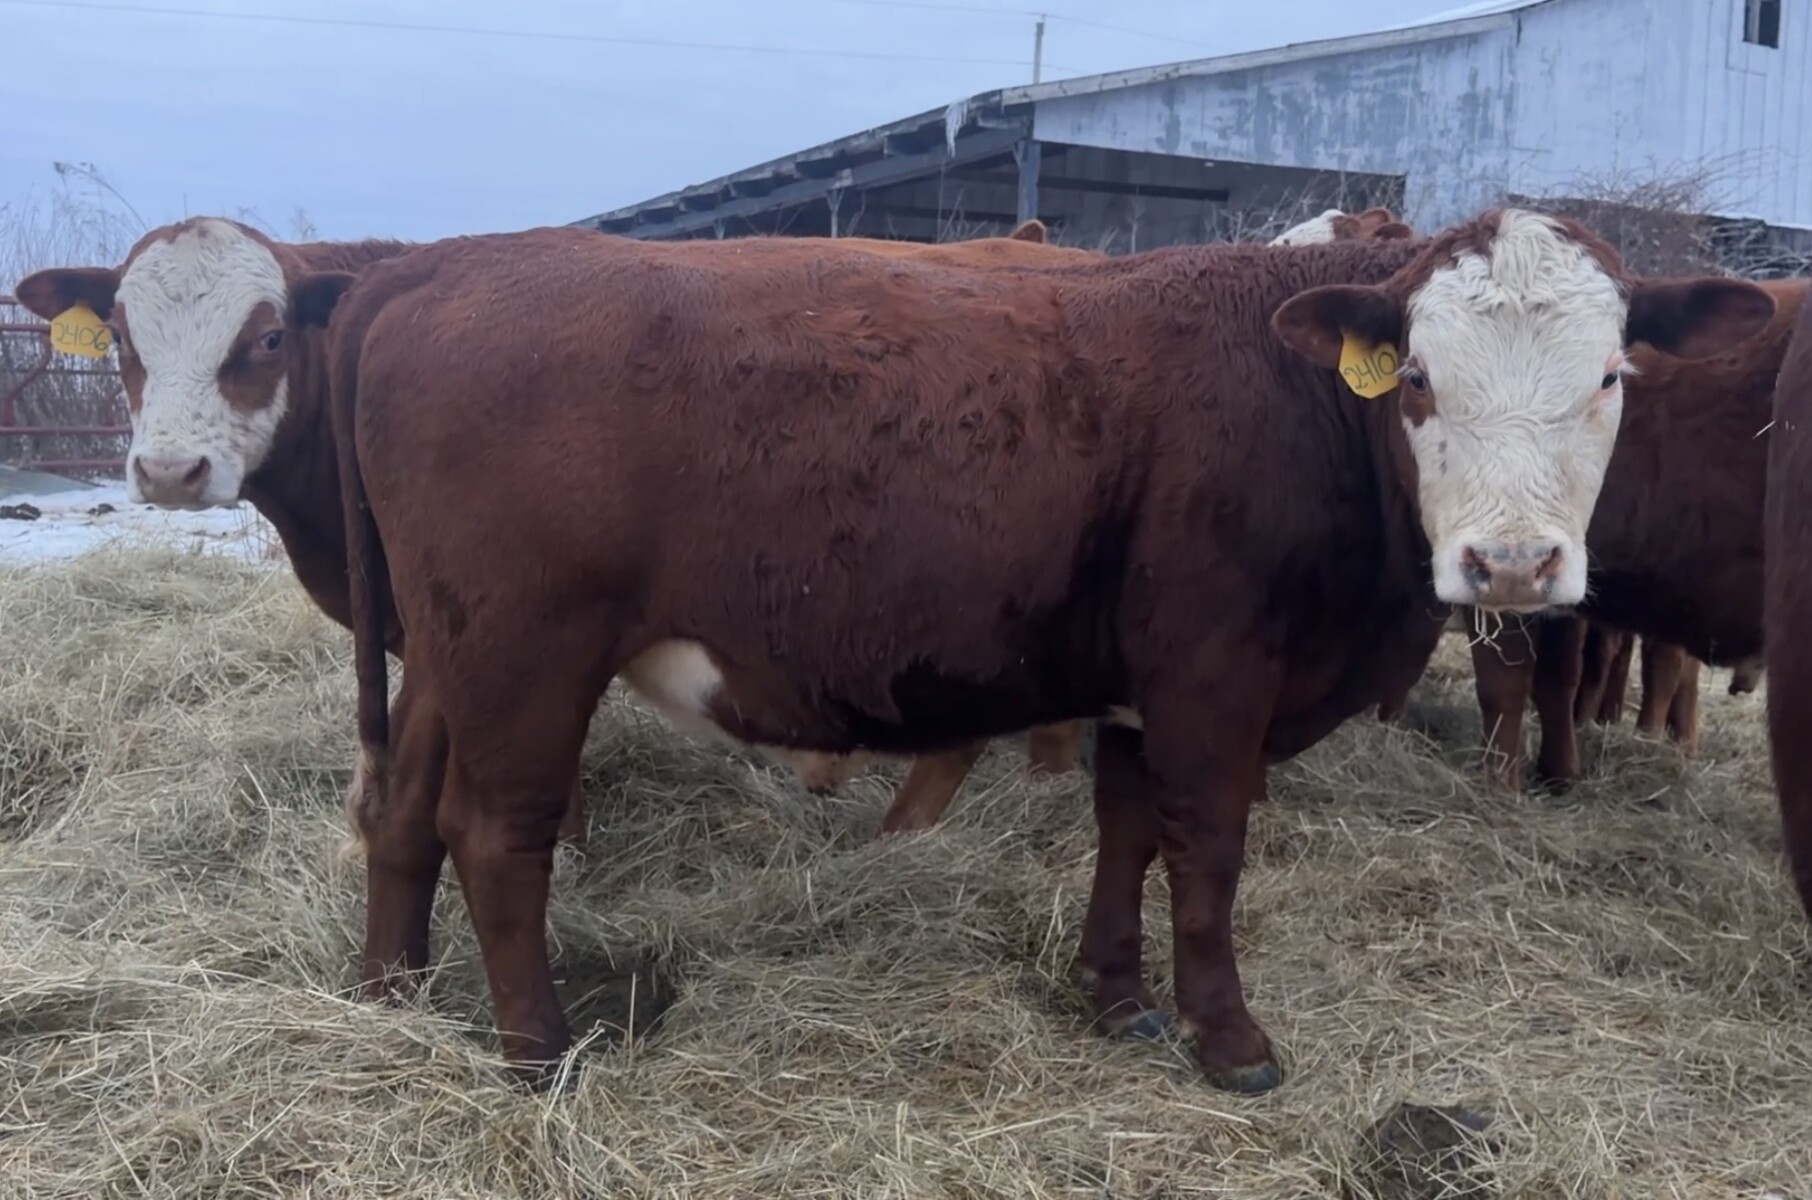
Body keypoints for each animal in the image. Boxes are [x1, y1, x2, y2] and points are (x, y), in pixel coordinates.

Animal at [304, 210, 1771, 1093]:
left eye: (1612, 378)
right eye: (1417, 380)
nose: (1511, 568)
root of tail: (442, 264)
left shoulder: (1139, 684)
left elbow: (1128, 832)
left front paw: (1117, 998)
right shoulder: (1214, 673)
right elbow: (1207, 852)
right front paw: (1229, 1037)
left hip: (448, 655)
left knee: (403, 812)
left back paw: (389, 1002)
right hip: (526, 654)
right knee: (496, 833)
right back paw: (540, 1052)